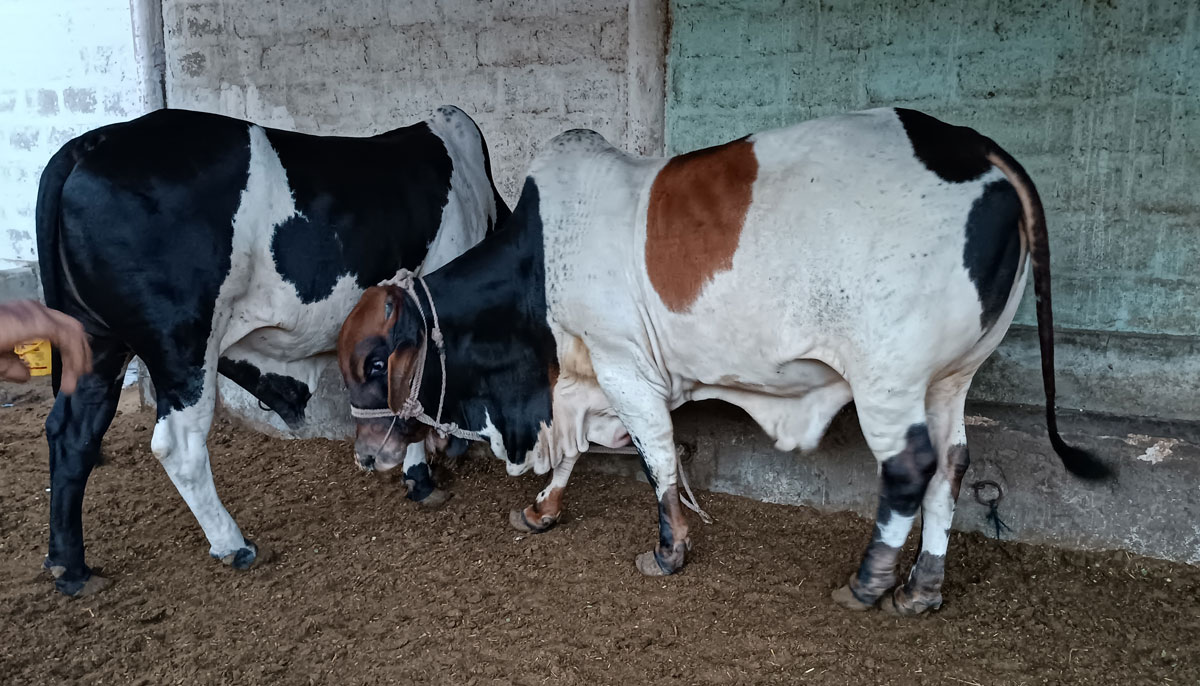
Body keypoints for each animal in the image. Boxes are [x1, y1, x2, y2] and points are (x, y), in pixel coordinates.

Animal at [36, 104, 506, 592]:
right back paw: (234, 546)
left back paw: (71, 568)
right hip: (183, 347)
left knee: (72, 435)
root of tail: (91, 144)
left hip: (96, 344)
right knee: (178, 446)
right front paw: (422, 479)